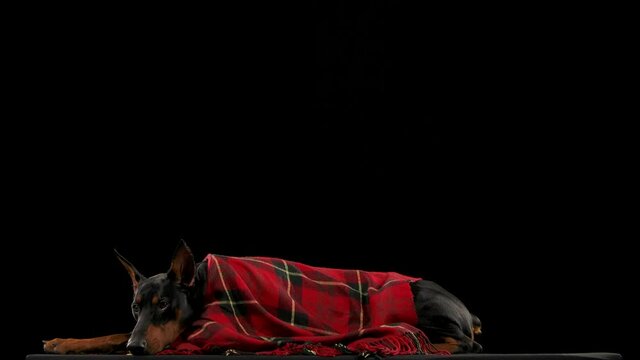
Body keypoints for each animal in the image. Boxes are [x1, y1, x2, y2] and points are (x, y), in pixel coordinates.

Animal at [42, 240, 480, 356]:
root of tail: (467, 310)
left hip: (423, 306)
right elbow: (117, 332)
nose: (137, 348)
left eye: (163, 304)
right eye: (135, 306)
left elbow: (118, 335)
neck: (203, 285)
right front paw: (63, 341)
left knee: (464, 343)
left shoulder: (201, 332)